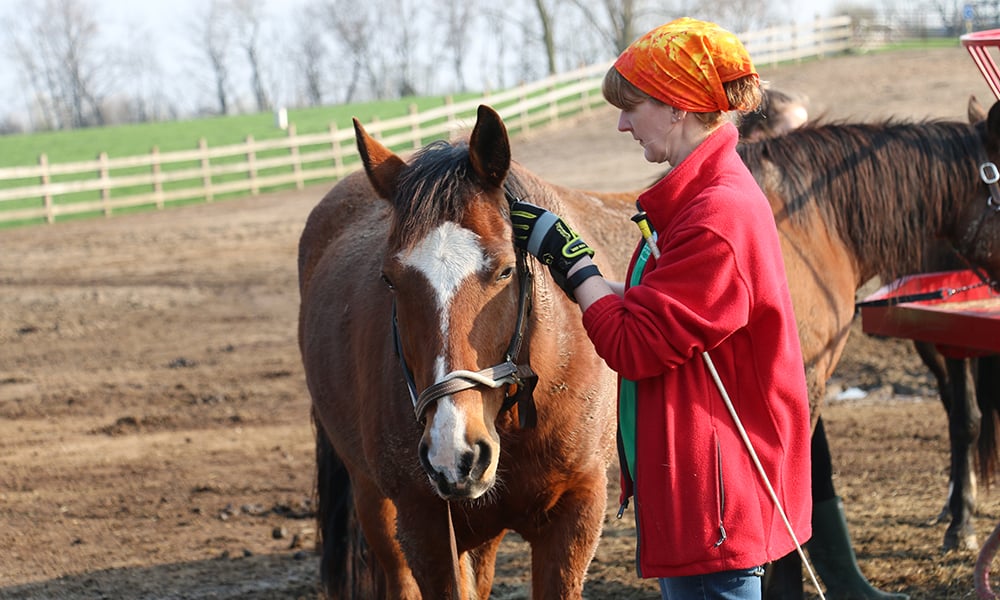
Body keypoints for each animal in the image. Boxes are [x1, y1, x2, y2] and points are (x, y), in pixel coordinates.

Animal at [296, 105, 636, 596]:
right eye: (389, 280)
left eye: (505, 271)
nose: (453, 453)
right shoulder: (428, 529)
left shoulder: (576, 513)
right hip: (377, 504)